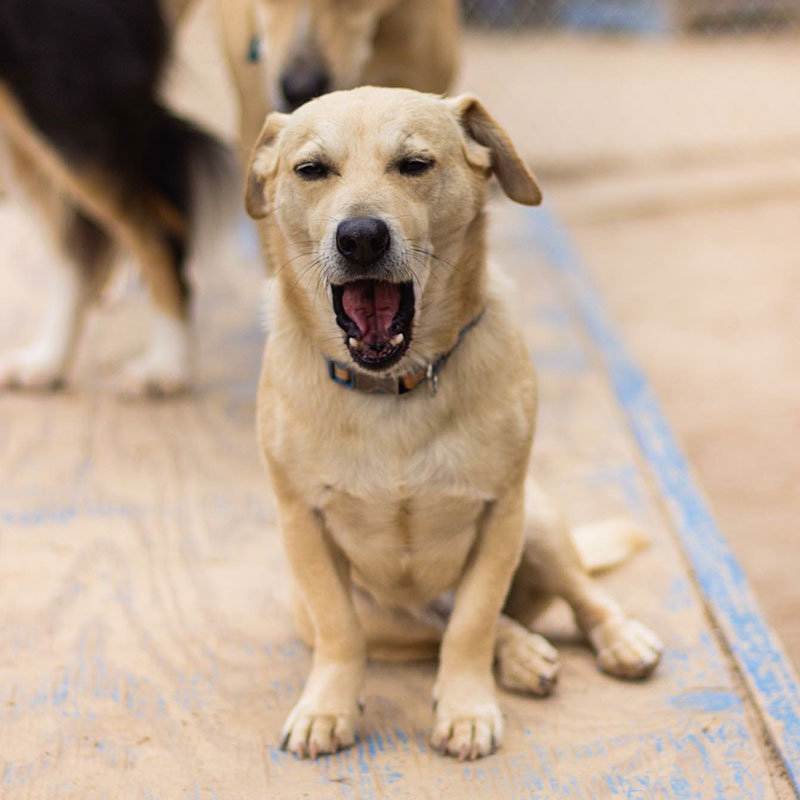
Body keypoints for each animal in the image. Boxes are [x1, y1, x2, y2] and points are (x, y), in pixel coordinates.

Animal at [245, 89, 664, 764]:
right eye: (311, 170)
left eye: (415, 164)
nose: (360, 236)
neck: (394, 388)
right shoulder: (303, 526)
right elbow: (343, 633)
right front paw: (327, 707)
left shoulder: (502, 515)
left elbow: (472, 624)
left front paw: (467, 709)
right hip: (382, 616)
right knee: (442, 623)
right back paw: (521, 653)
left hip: (539, 522)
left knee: (567, 596)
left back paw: (614, 638)